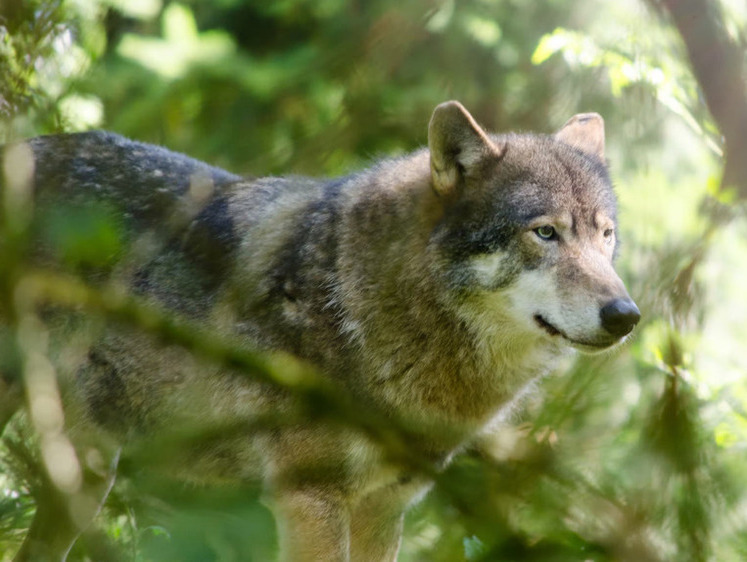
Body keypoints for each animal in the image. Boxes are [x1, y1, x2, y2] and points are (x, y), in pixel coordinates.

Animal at [2, 101, 640, 560]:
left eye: (605, 234)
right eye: (545, 233)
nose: (626, 315)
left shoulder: (385, 507)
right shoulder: (311, 499)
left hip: (84, 473)